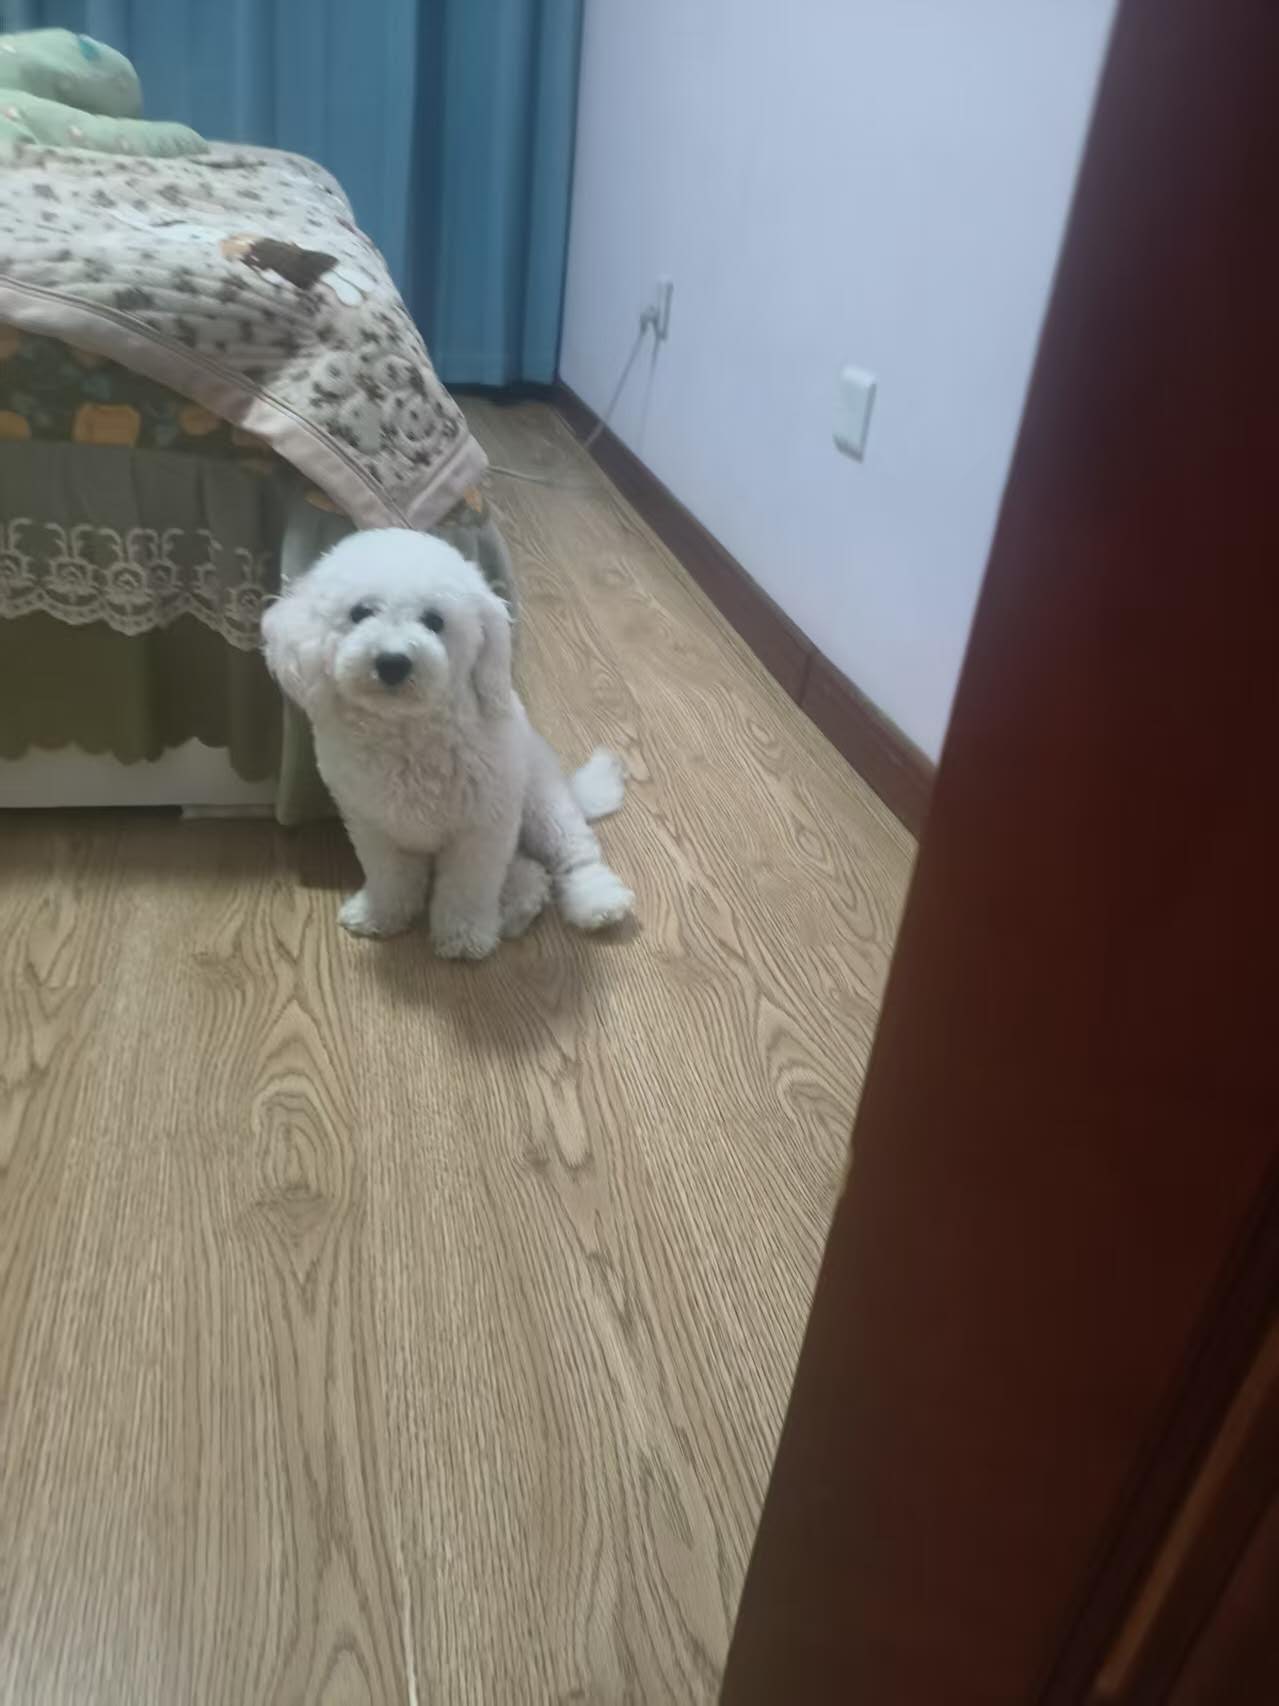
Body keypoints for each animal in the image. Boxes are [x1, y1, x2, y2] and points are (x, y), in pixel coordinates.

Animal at [261, 529, 635, 959]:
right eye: (360, 613)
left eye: (434, 621)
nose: (392, 662)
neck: (406, 735)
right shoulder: (375, 827)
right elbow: (390, 877)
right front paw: (381, 914)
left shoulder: (479, 830)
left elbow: (467, 889)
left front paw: (464, 936)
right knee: (529, 871)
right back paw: (517, 906)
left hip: (544, 810)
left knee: (573, 857)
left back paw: (596, 901)